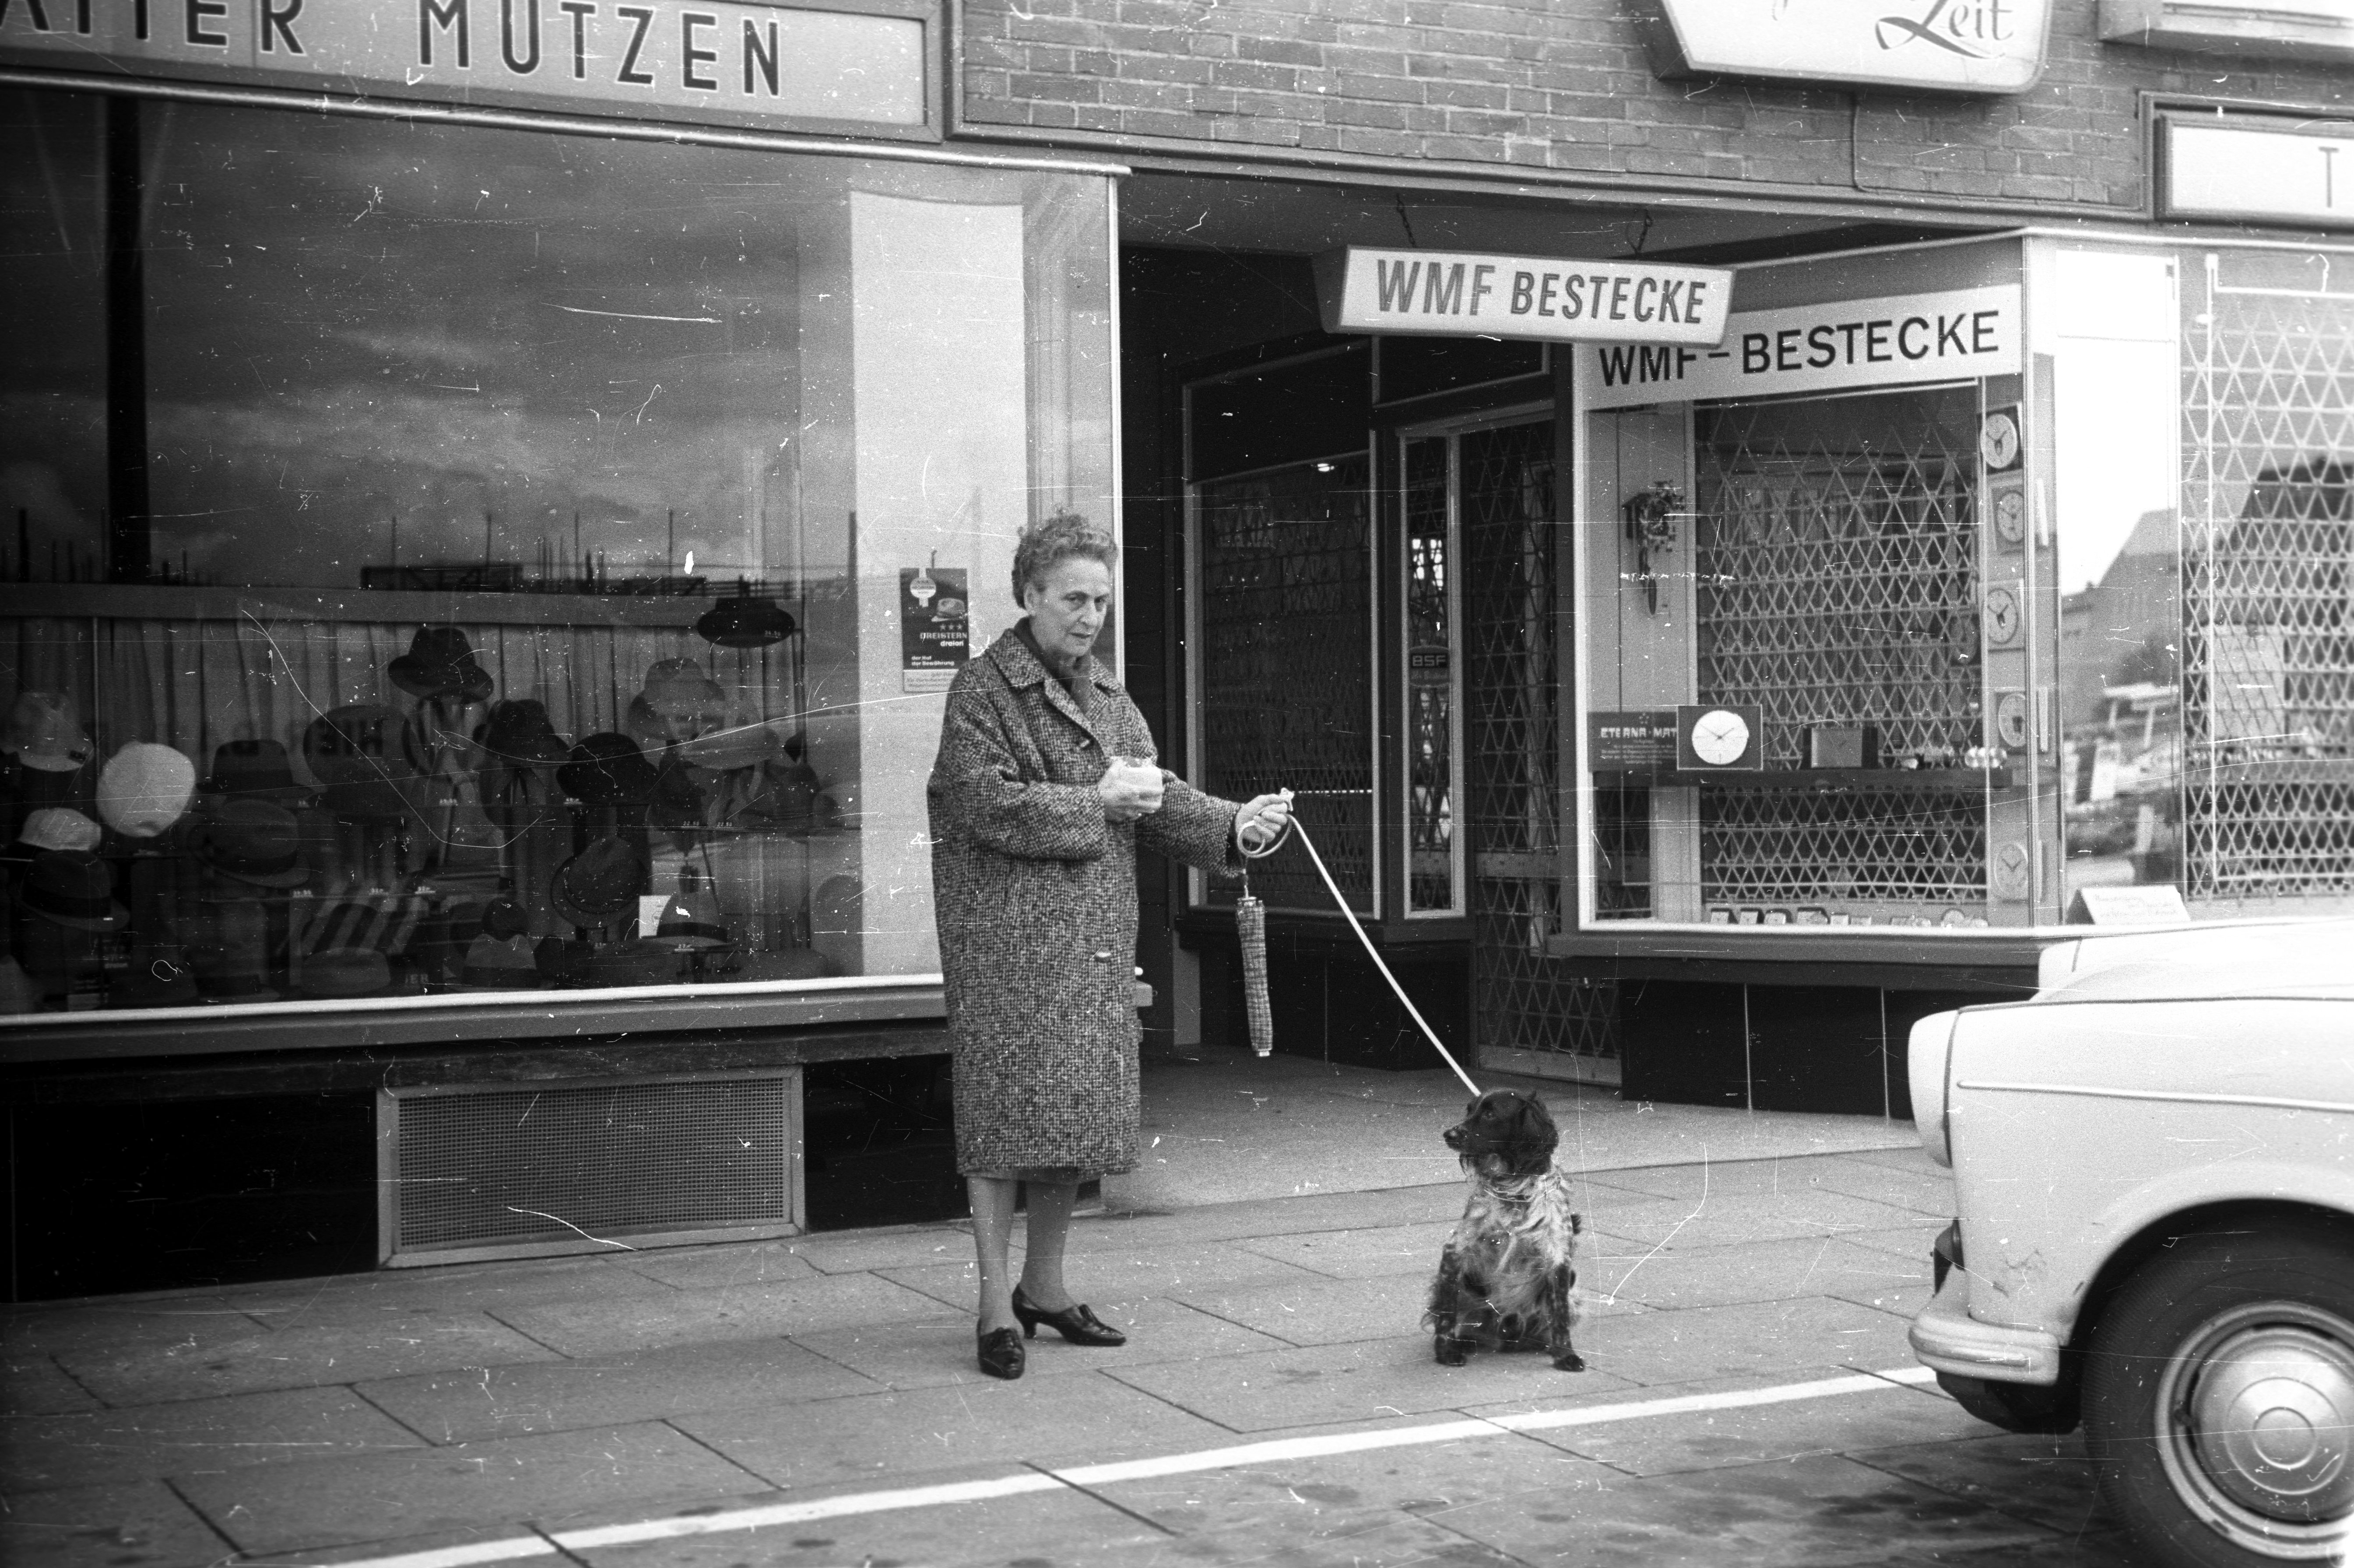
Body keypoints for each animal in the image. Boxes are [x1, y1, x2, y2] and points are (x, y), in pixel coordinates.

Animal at [1422, 1087, 1591, 1365]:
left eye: (1490, 1114)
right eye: (1470, 1110)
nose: (1449, 1134)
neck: (1514, 1192)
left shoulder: (1558, 1257)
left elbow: (1560, 1315)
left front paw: (1565, 1355)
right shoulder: (1455, 1252)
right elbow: (1446, 1312)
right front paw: (1447, 1353)